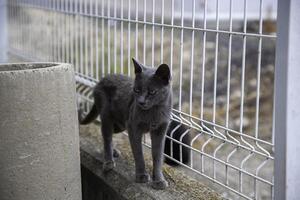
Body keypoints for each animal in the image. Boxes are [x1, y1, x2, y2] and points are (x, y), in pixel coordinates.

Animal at [79, 58, 171, 190]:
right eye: (136, 90)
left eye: (152, 92)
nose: (141, 102)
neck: (154, 112)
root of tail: (102, 79)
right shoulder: (133, 128)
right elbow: (138, 153)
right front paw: (141, 176)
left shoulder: (160, 130)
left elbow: (158, 156)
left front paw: (159, 181)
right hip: (107, 116)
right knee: (107, 136)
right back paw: (108, 162)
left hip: (120, 124)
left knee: (107, 135)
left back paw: (113, 152)